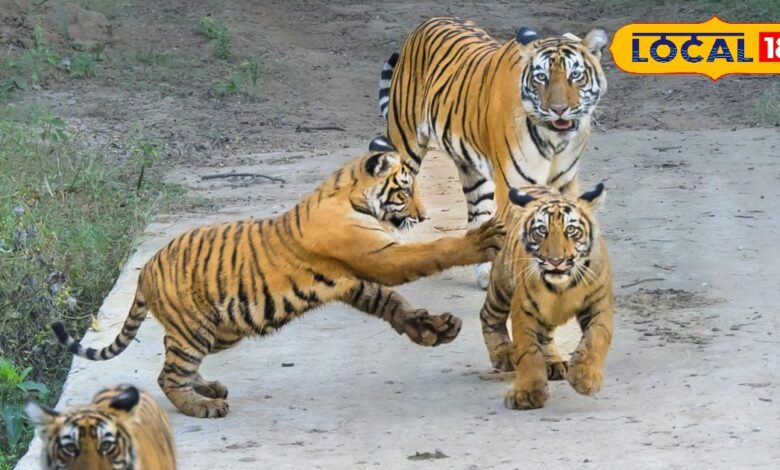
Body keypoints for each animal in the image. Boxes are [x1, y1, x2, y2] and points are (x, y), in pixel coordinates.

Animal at [51, 143, 506, 418]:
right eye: (405, 190)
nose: (425, 215)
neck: (350, 194)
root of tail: (146, 268)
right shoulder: (376, 256)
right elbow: (431, 252)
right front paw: (480, 239)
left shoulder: (353, 278)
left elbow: (392, 304)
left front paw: (432, 328)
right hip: (196, 328)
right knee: (167, 375)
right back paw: (202, 407)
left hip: (219, 330)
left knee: (172, 357)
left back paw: (209, 388)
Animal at [378, 17, 608, 288]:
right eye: (541, 77)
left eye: (576, 75)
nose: (559, 109)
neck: (553, 140)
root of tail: (429, 21)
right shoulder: (515, 186)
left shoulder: (565, 183)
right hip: (406, 144)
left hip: (475, 174)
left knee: (478, 218)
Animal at [478, 183, 613, 410]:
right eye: (542, 231)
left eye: (571, 230)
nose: (555, 260)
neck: (562, 287)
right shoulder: (524, 311)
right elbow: (529, 353)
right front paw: (526, 394)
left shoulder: (599, 303)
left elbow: (596, 338)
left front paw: (585, 378)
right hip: (501, 284)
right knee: (489, 315)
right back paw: (503, 354)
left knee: (546, 335)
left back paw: (553, 363)